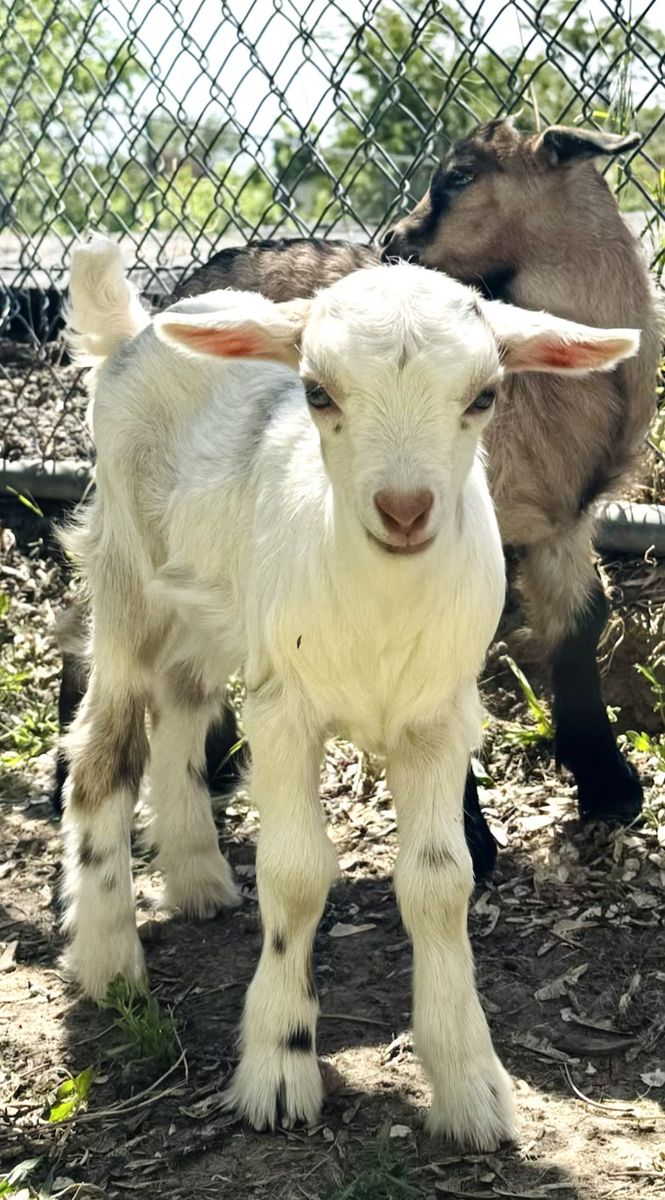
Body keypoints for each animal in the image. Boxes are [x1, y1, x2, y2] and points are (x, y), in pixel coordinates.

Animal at [62, 236, 638, 1145]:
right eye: (317, 392)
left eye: (484, 396)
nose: (403, 509)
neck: (379, 611)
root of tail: (136, 328)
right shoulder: (284, 712)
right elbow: (297, 875)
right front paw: (278, 1065)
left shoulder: (439, 718)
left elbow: (440, 884)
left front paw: (470, 1086)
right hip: (126, 578)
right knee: (103, 759)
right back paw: (108, 958)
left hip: (214, 605)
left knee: (183, 714)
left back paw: (197, 880)